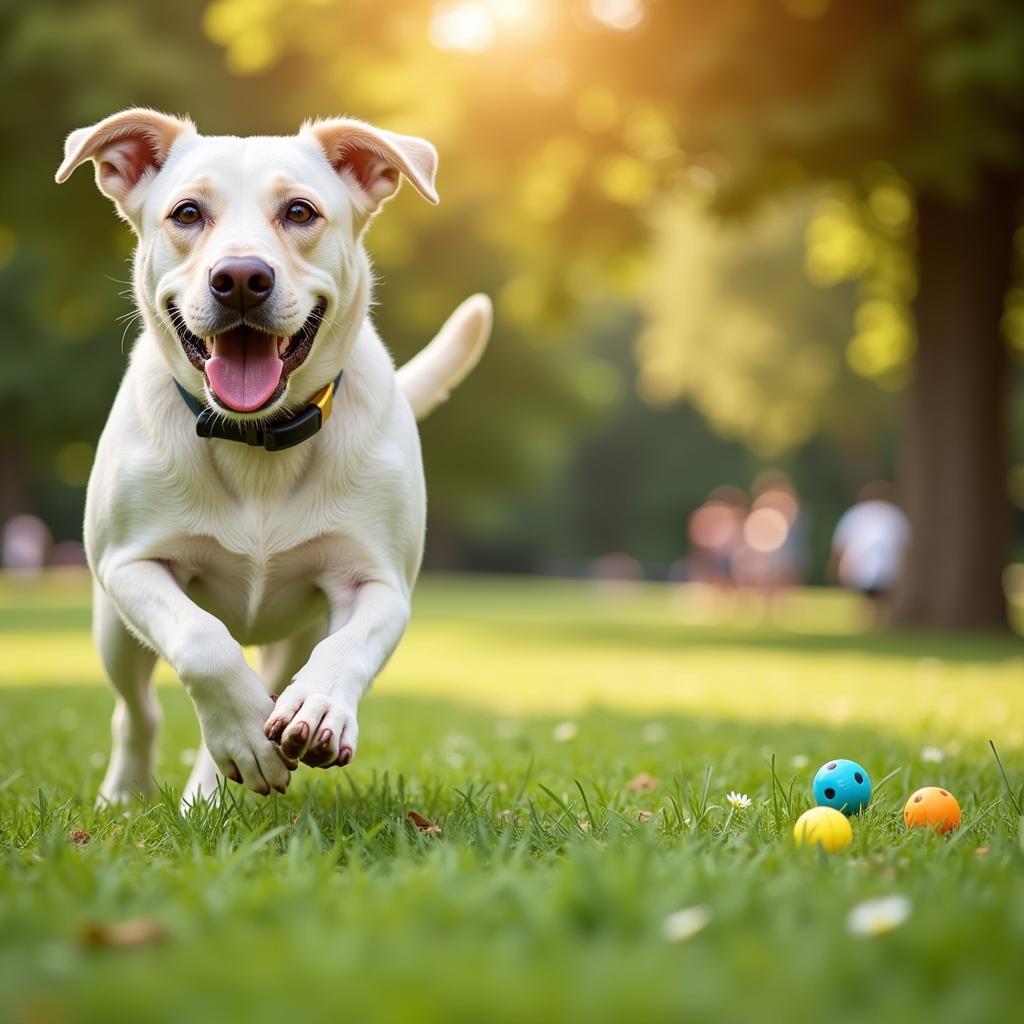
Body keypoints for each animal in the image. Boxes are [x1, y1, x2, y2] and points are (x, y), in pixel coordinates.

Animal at [56, 108, 491, 802]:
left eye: (300, 211)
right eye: (186, 213)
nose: (239, 278)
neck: (253, 434)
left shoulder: (378, 581)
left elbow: (349, 645)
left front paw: (317, 708)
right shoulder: (130, 564)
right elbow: (202, 639)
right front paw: (238, 732)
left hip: (294, 630)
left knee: (267, 680)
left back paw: (215, 783)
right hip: (111, 628)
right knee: (138, 709)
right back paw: (134, 788)